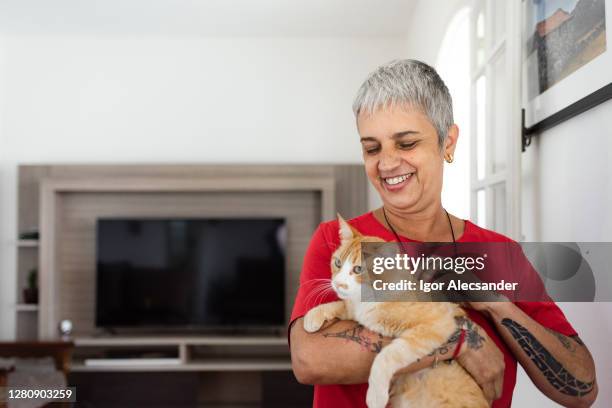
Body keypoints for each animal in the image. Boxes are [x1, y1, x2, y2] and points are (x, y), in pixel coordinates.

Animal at [304, 215, 490, 406]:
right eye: (337, 263)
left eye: (358, 269)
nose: (338, 284)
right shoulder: (354, 309)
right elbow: (340, 304)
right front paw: (312, 317)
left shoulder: (436, 323)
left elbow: (386, 355)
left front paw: (375, 395)